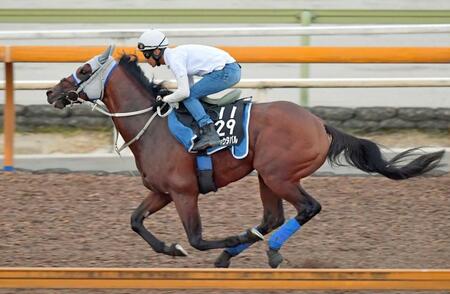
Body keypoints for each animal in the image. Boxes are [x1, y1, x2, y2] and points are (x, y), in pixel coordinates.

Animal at [44, 46, 444, 268]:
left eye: (83, 70)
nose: (51, 92)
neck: (152, 125)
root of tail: (320, 124)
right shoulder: (161, 191)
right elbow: (135, 221)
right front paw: (171, 249)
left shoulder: (184, 192)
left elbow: (197, 238)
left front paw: (213, 242)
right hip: (266, 176)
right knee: (272, 217)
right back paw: (239, 252)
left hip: (280, 174)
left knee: (307, 208)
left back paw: (268, 251)